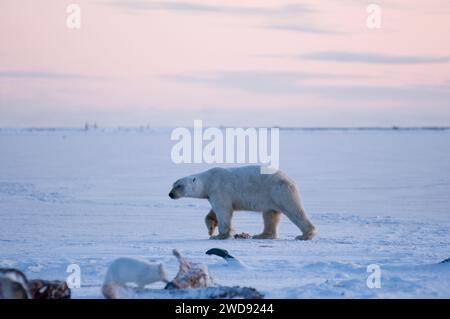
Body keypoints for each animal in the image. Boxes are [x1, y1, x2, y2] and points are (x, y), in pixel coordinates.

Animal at [168, 166, 316, 241]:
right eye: (173, 184)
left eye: (179, 186)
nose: (170, 194)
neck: (209, 180)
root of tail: (290, 179)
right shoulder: (213, 194)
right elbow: (214, 212)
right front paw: (211, 229)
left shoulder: (220, 189)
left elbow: (224, 212)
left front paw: (220, 236)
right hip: (270, 197)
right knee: (270, 215)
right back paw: (262, 235)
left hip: (279, 191)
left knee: (294, 210)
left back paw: (305, 235)